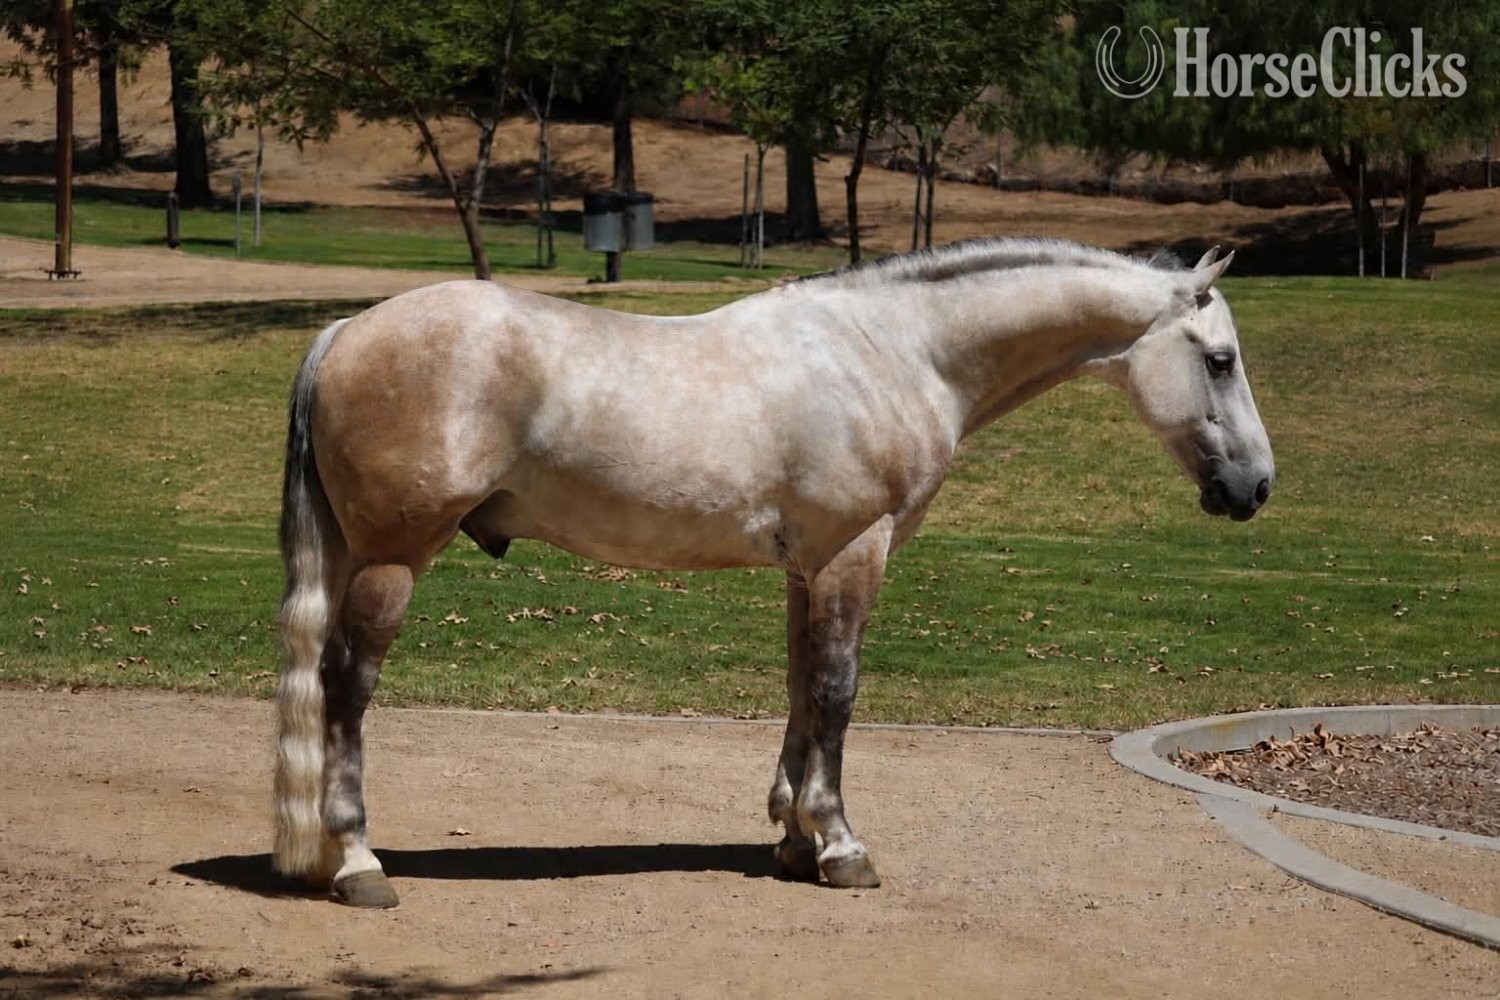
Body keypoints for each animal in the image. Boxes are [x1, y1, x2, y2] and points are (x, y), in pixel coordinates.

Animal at [272, 238, 1274, 908]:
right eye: (1220, 361)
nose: (1255, 487)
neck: (893, 351)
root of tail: (346, 331)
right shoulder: (854, 553)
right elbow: (836, 692)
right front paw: (839, 844)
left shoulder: (809, 568)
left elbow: (800, 689)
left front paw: (793, 837)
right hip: (393, 562)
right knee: (347, 688)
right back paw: (357, 862)